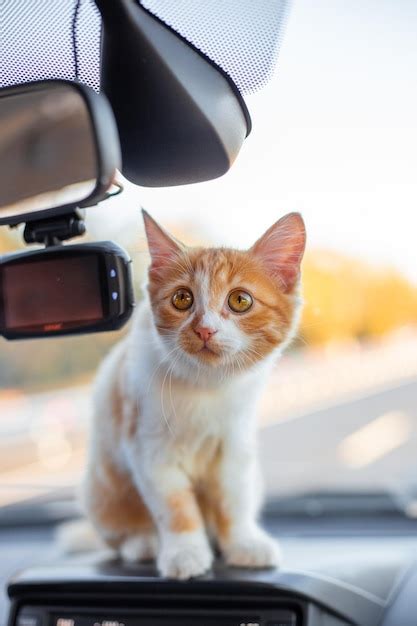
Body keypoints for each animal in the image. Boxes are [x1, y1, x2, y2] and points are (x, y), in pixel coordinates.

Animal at [83, 208, 306, 576]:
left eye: (240, 300)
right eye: (182, 298)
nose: (204, 330)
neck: (206, 386)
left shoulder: (235, 444)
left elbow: (233, 497)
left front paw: (243, 543)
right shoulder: (147, 447)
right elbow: (174, 507)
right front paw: (184, 552)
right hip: (102, 490)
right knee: (117, 531)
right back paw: (141, 543)